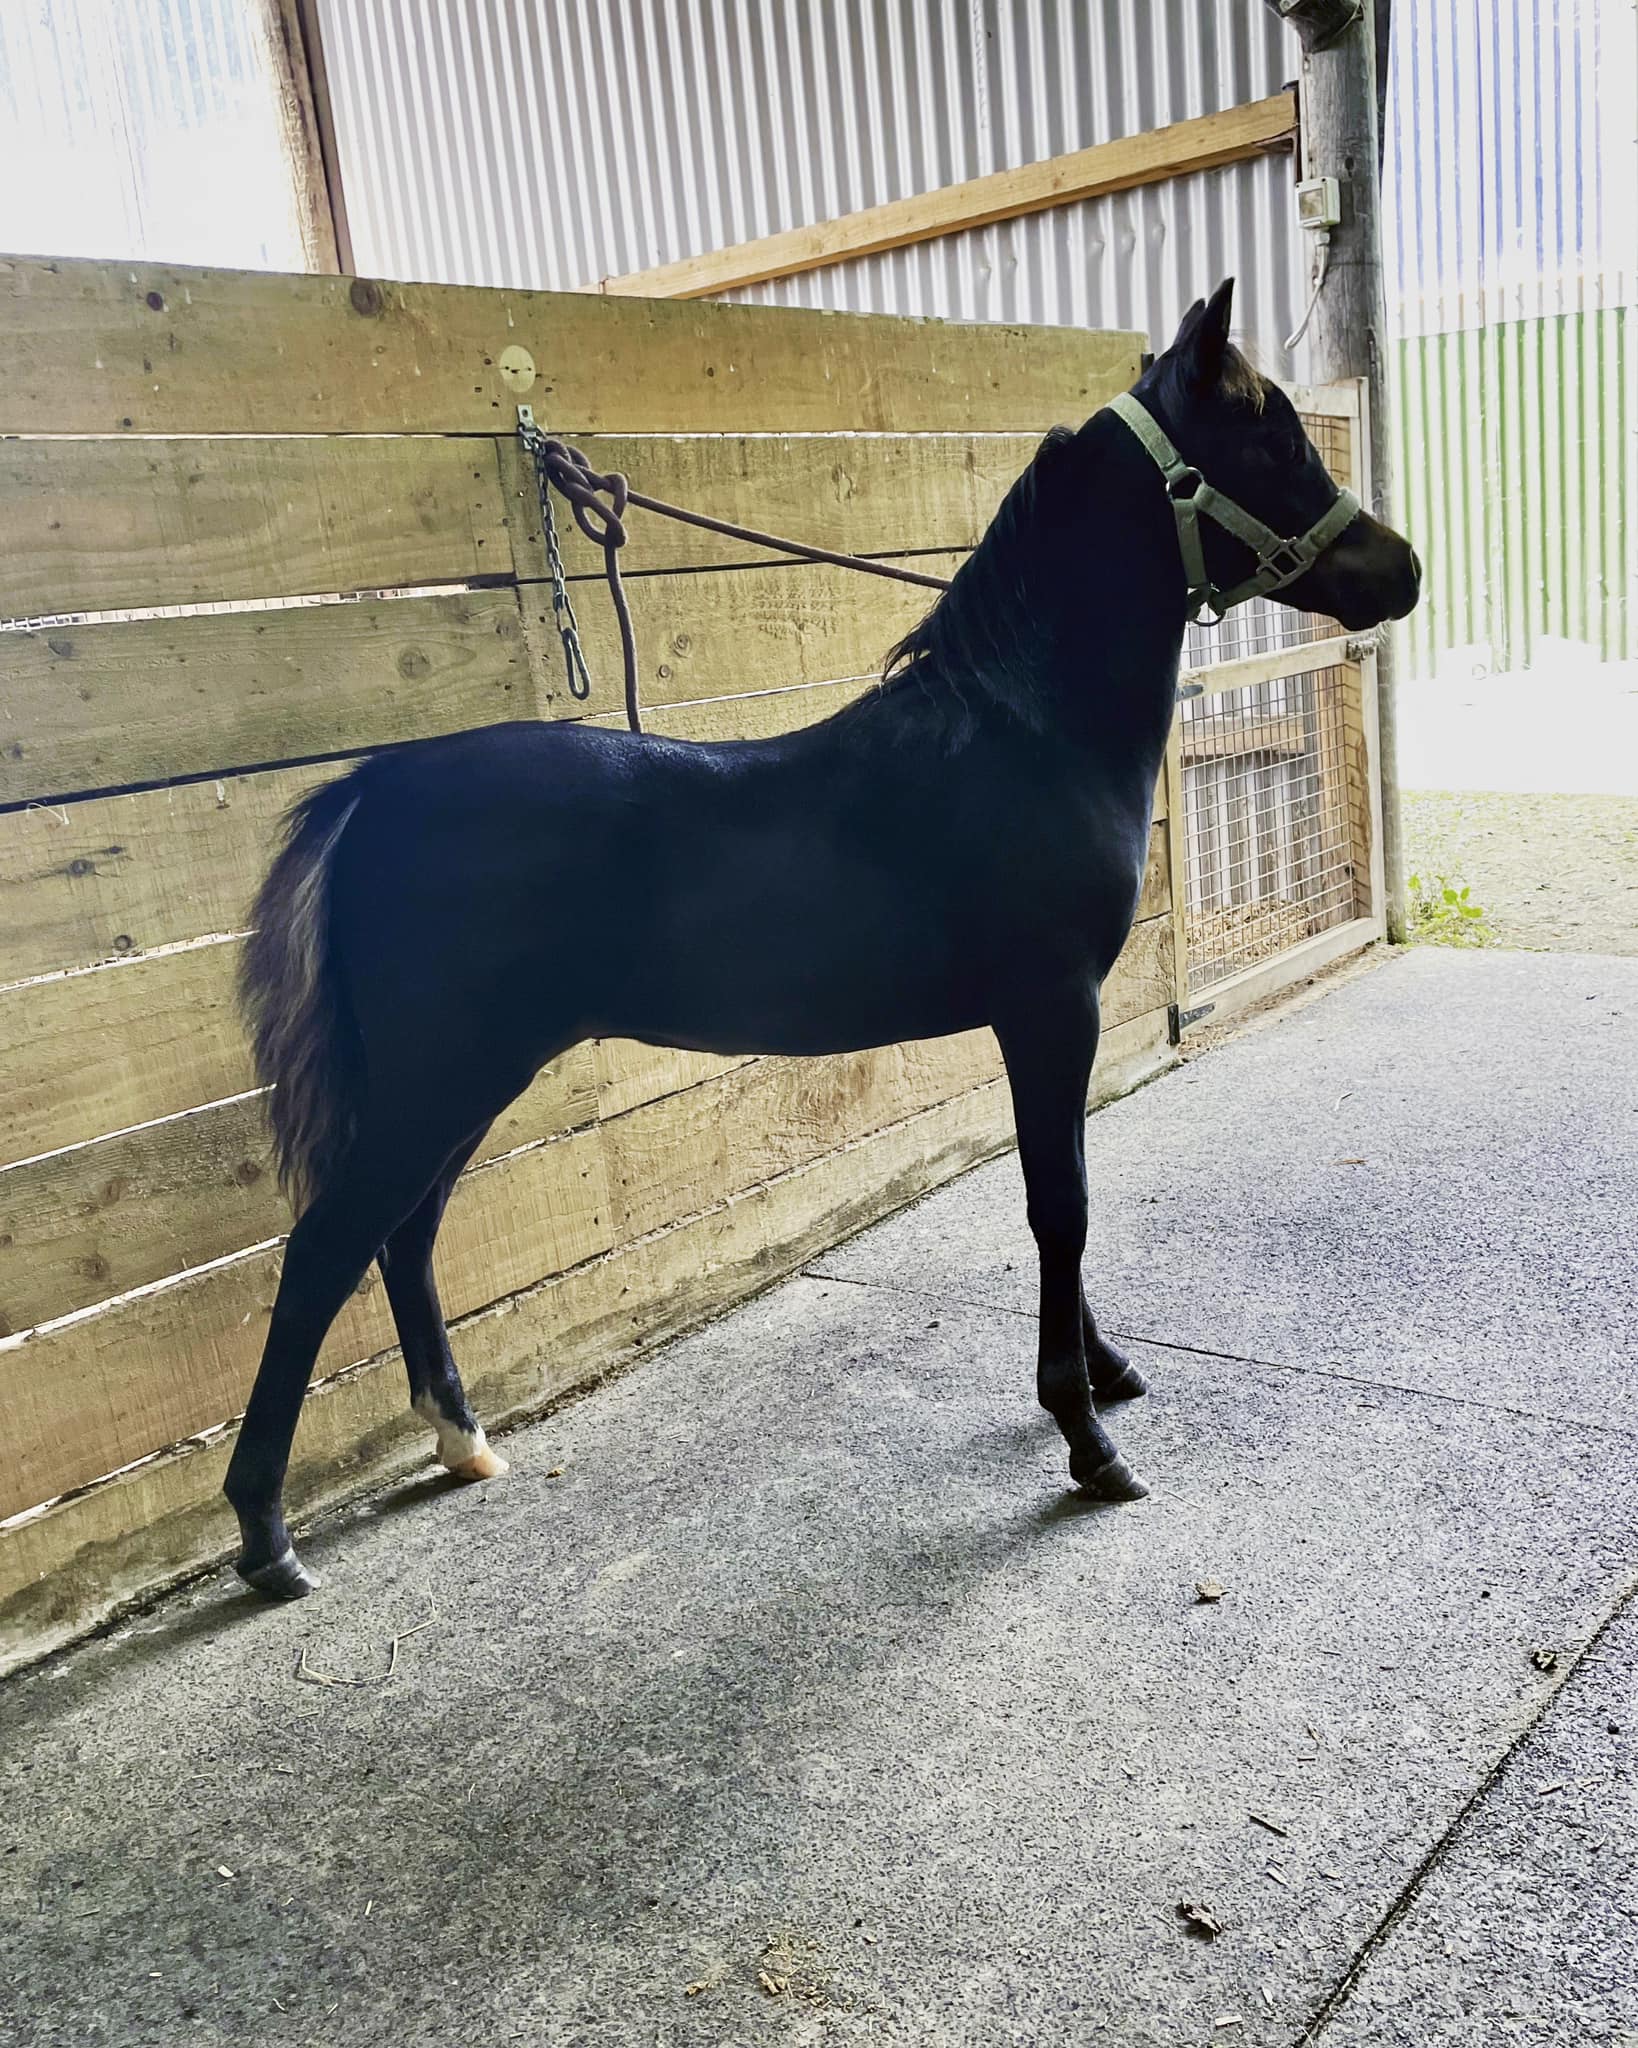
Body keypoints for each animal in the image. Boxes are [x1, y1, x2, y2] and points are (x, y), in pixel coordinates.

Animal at [225, 279, 1420, 1598]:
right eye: (1271, 443)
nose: (1404, 572)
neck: (1023, 735)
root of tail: (371, 792)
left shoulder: (1046, 1023)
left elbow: (1062, 1186)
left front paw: (1104, 1374)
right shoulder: (1049, 1009)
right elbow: (1060, 1203)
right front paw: (1085, 1434)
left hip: (467, 1080)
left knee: (406, 1237)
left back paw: (461, 1438)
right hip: (442, 1078)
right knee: (326, 1251)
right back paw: (268, 1537)